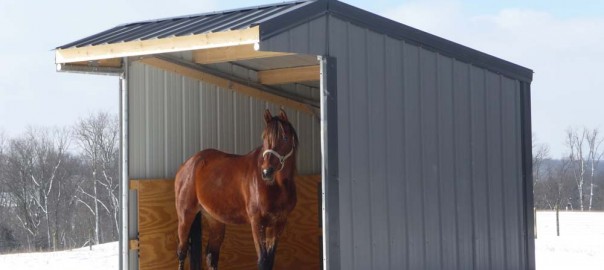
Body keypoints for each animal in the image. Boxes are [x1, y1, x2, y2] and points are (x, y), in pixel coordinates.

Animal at [173, 108, 298, 268]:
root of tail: (187, 165)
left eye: (285, 137)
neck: (277, 186)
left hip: (215, 220)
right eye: (264, 138)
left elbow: (269, 261)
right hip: (185, 216)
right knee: (182, 251)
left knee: (211, 255)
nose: (266, 172)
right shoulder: (257, 223)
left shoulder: (278, 224)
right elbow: (263, 261)